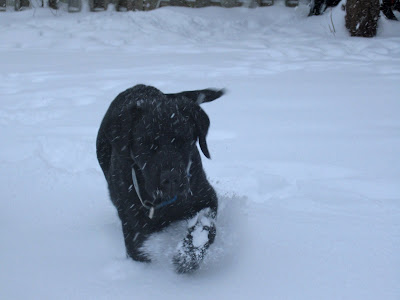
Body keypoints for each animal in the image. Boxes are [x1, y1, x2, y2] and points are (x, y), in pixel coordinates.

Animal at [95, 83, 223, 274]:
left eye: (184, 140)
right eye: (146, 144)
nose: (171, 178)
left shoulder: (206, 196)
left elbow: (205, 225)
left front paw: (188, 255)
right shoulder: (132, 224)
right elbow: (138, 252)